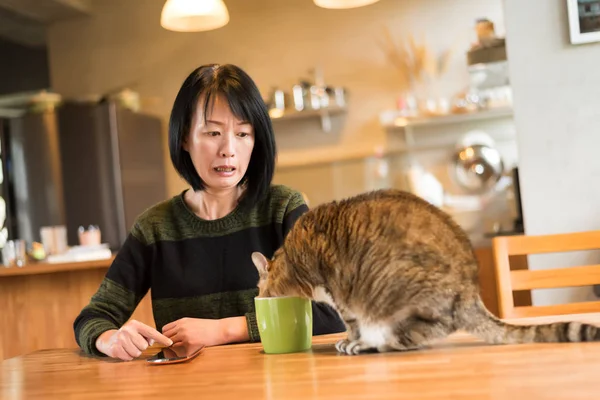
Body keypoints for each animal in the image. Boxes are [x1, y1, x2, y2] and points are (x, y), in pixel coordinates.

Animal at [251, 189, 600, 354]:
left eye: (258, 289)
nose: (258, 295)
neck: (292, 257)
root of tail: (470, 294)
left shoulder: (341, 294)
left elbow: (351, 324)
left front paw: (352, 340)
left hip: (395, 293)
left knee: (409, 336)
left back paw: (369, 345)